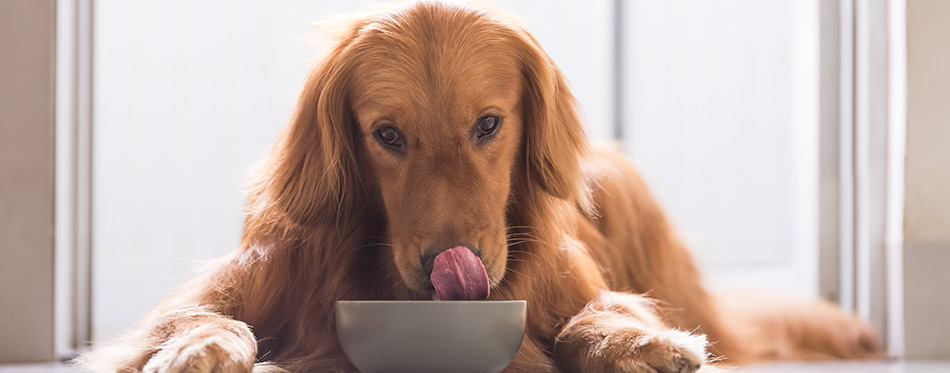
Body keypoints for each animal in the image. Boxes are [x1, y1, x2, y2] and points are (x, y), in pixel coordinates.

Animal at [78, 1, 880, 370]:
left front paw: (636, 340)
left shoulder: (572, 287)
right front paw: (197, 351)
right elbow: (200, 319)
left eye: (489, 124)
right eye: (387, 135)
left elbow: (593, 315)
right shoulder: (240, 284)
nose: (448, 267)